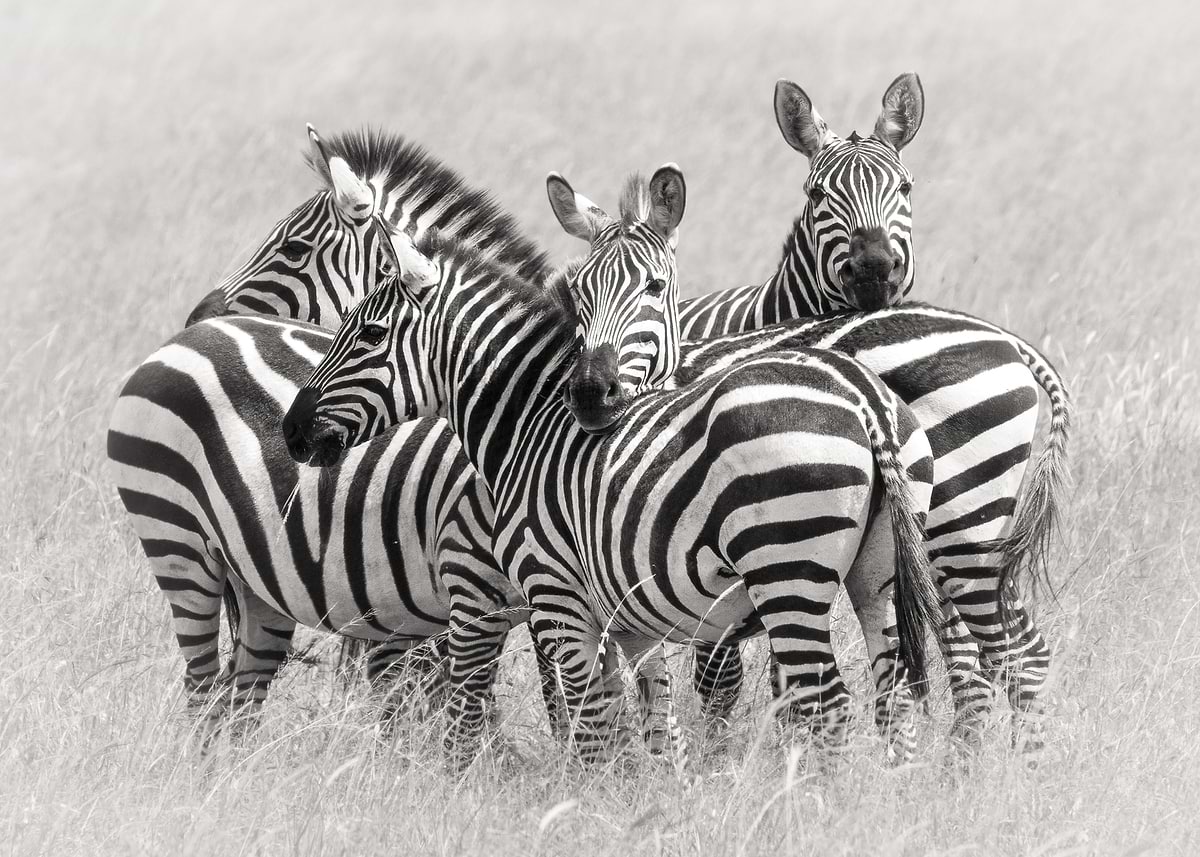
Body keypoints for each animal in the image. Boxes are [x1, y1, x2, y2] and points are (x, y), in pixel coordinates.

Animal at [281, 220, 945, 767]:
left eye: (368, 333)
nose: (290, 431)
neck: (529, 425)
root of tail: (863, 395)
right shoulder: (628, 619)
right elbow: (653, 725)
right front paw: (656, 805)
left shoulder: (557, 597)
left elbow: (591, 724)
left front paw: (588, 807)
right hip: (878, 576)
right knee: (892, 697)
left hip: (786, 571)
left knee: (827, 705)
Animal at [546, 143, 1071, 749]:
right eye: (577, 293)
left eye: (654, 288)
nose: (591, 393)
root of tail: (1007, 340)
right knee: (999, 654)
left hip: (959, 527)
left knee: (993, 656)